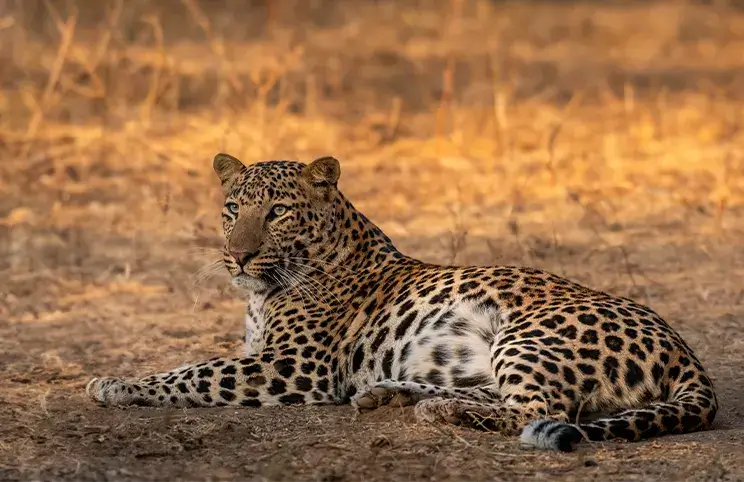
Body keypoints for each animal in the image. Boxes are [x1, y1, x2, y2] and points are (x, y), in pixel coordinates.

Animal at [86, 153, 718, 452]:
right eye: (232, 209)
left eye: (278, 212)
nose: (237, 257)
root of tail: (685, 351)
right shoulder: (265, 354)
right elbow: (198, 364)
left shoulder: (294, 365)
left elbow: (193, 371)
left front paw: (115, 383)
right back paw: (393, 395)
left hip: (528, 334)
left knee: (542, 412)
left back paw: (435, 410)